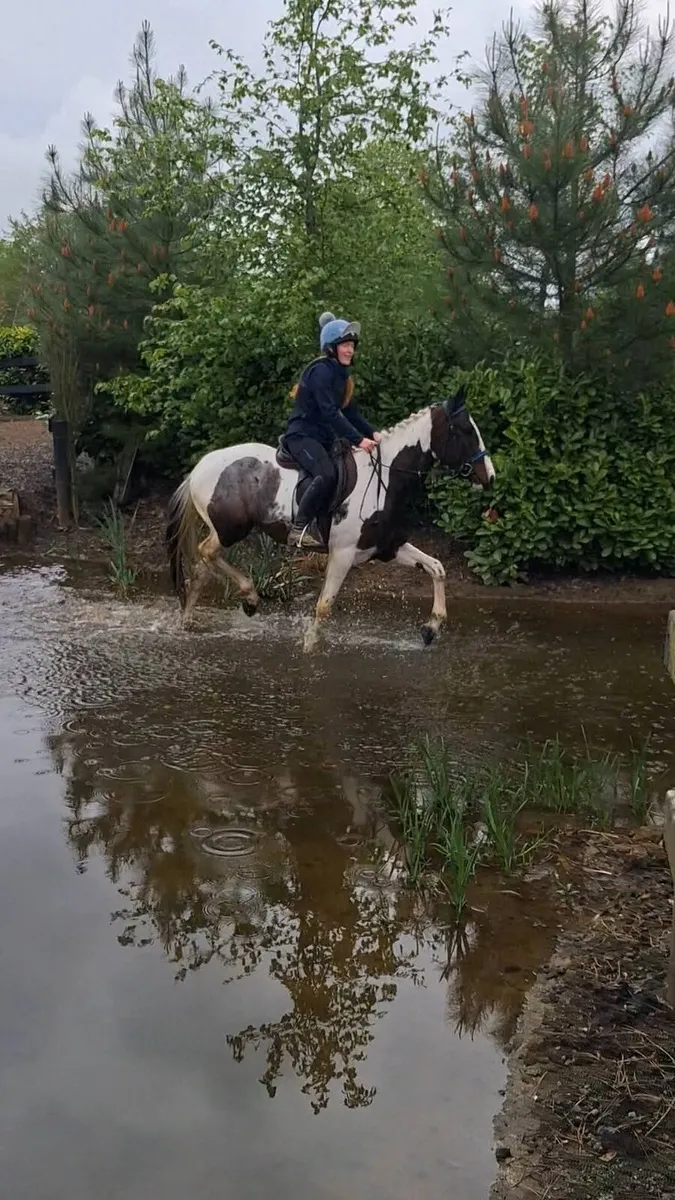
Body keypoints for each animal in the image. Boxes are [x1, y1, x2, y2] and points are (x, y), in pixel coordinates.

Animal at [165, 387, 495, 651]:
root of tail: (200, 466)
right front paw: (309, 649)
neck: (386, 478)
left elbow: (437, 568)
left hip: (226, 532)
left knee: (201, 569)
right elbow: (323, 607)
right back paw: (250, 598)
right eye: (466, 431)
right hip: (230, 530)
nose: (489, 477)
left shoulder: (388, 547)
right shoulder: (343, 554)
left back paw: (190, 621)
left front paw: (430, 629)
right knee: (206, 554)